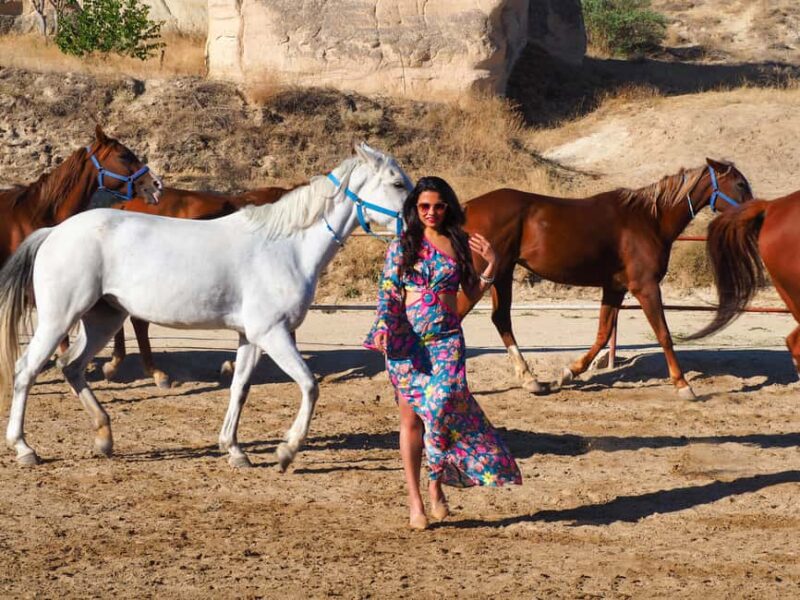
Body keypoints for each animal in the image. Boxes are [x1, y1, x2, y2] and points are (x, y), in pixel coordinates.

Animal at [457, 159, 754, 399]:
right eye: (740, 183)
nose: (755, 214)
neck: (649, 220)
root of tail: (467, 207)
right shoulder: (646, 287)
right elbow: (664, 334)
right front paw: (683, 385)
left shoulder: (615, 288)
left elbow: (602, 334)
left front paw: (567, 374)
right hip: (485, 276)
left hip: (500, 274)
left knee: (501, 319)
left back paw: (532, 381)